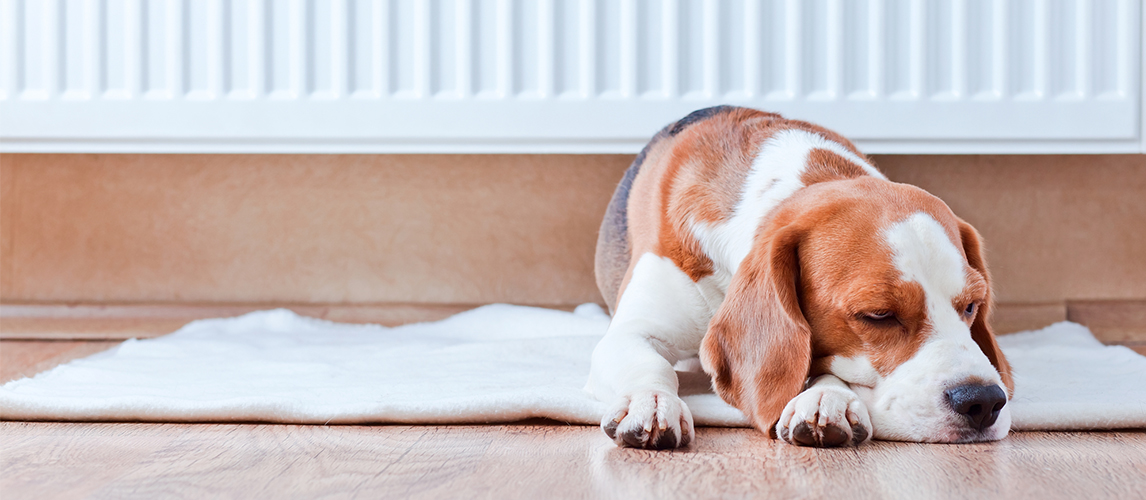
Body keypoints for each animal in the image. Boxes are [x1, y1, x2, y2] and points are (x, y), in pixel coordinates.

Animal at [591, 105, 1013, 449]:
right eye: (878, 315)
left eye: (971, 306)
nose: (984, 401)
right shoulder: (632, 331)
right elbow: (652, 365)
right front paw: (651, 401)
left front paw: (827, 398)